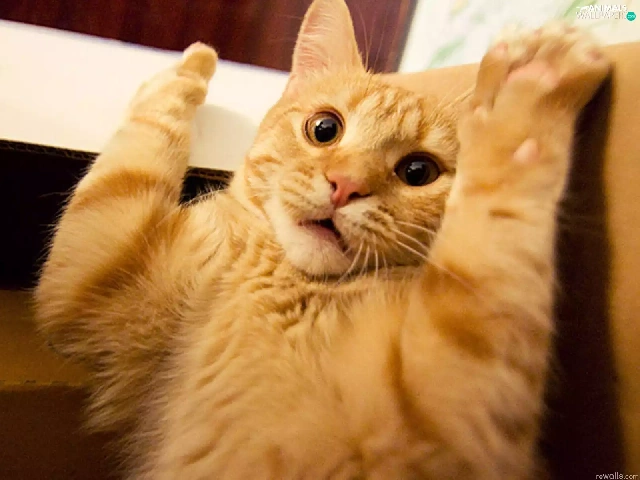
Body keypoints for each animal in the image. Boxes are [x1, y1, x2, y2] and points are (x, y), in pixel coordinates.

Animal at [34, 0, 611, 478]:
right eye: (325, 129)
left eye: (418, 171)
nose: (345, 185)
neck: (293, 287)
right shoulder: (96, 260)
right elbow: (154, 122)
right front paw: (196, 60)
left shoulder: (455, 406)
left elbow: (498, 204)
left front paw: (529, 89)